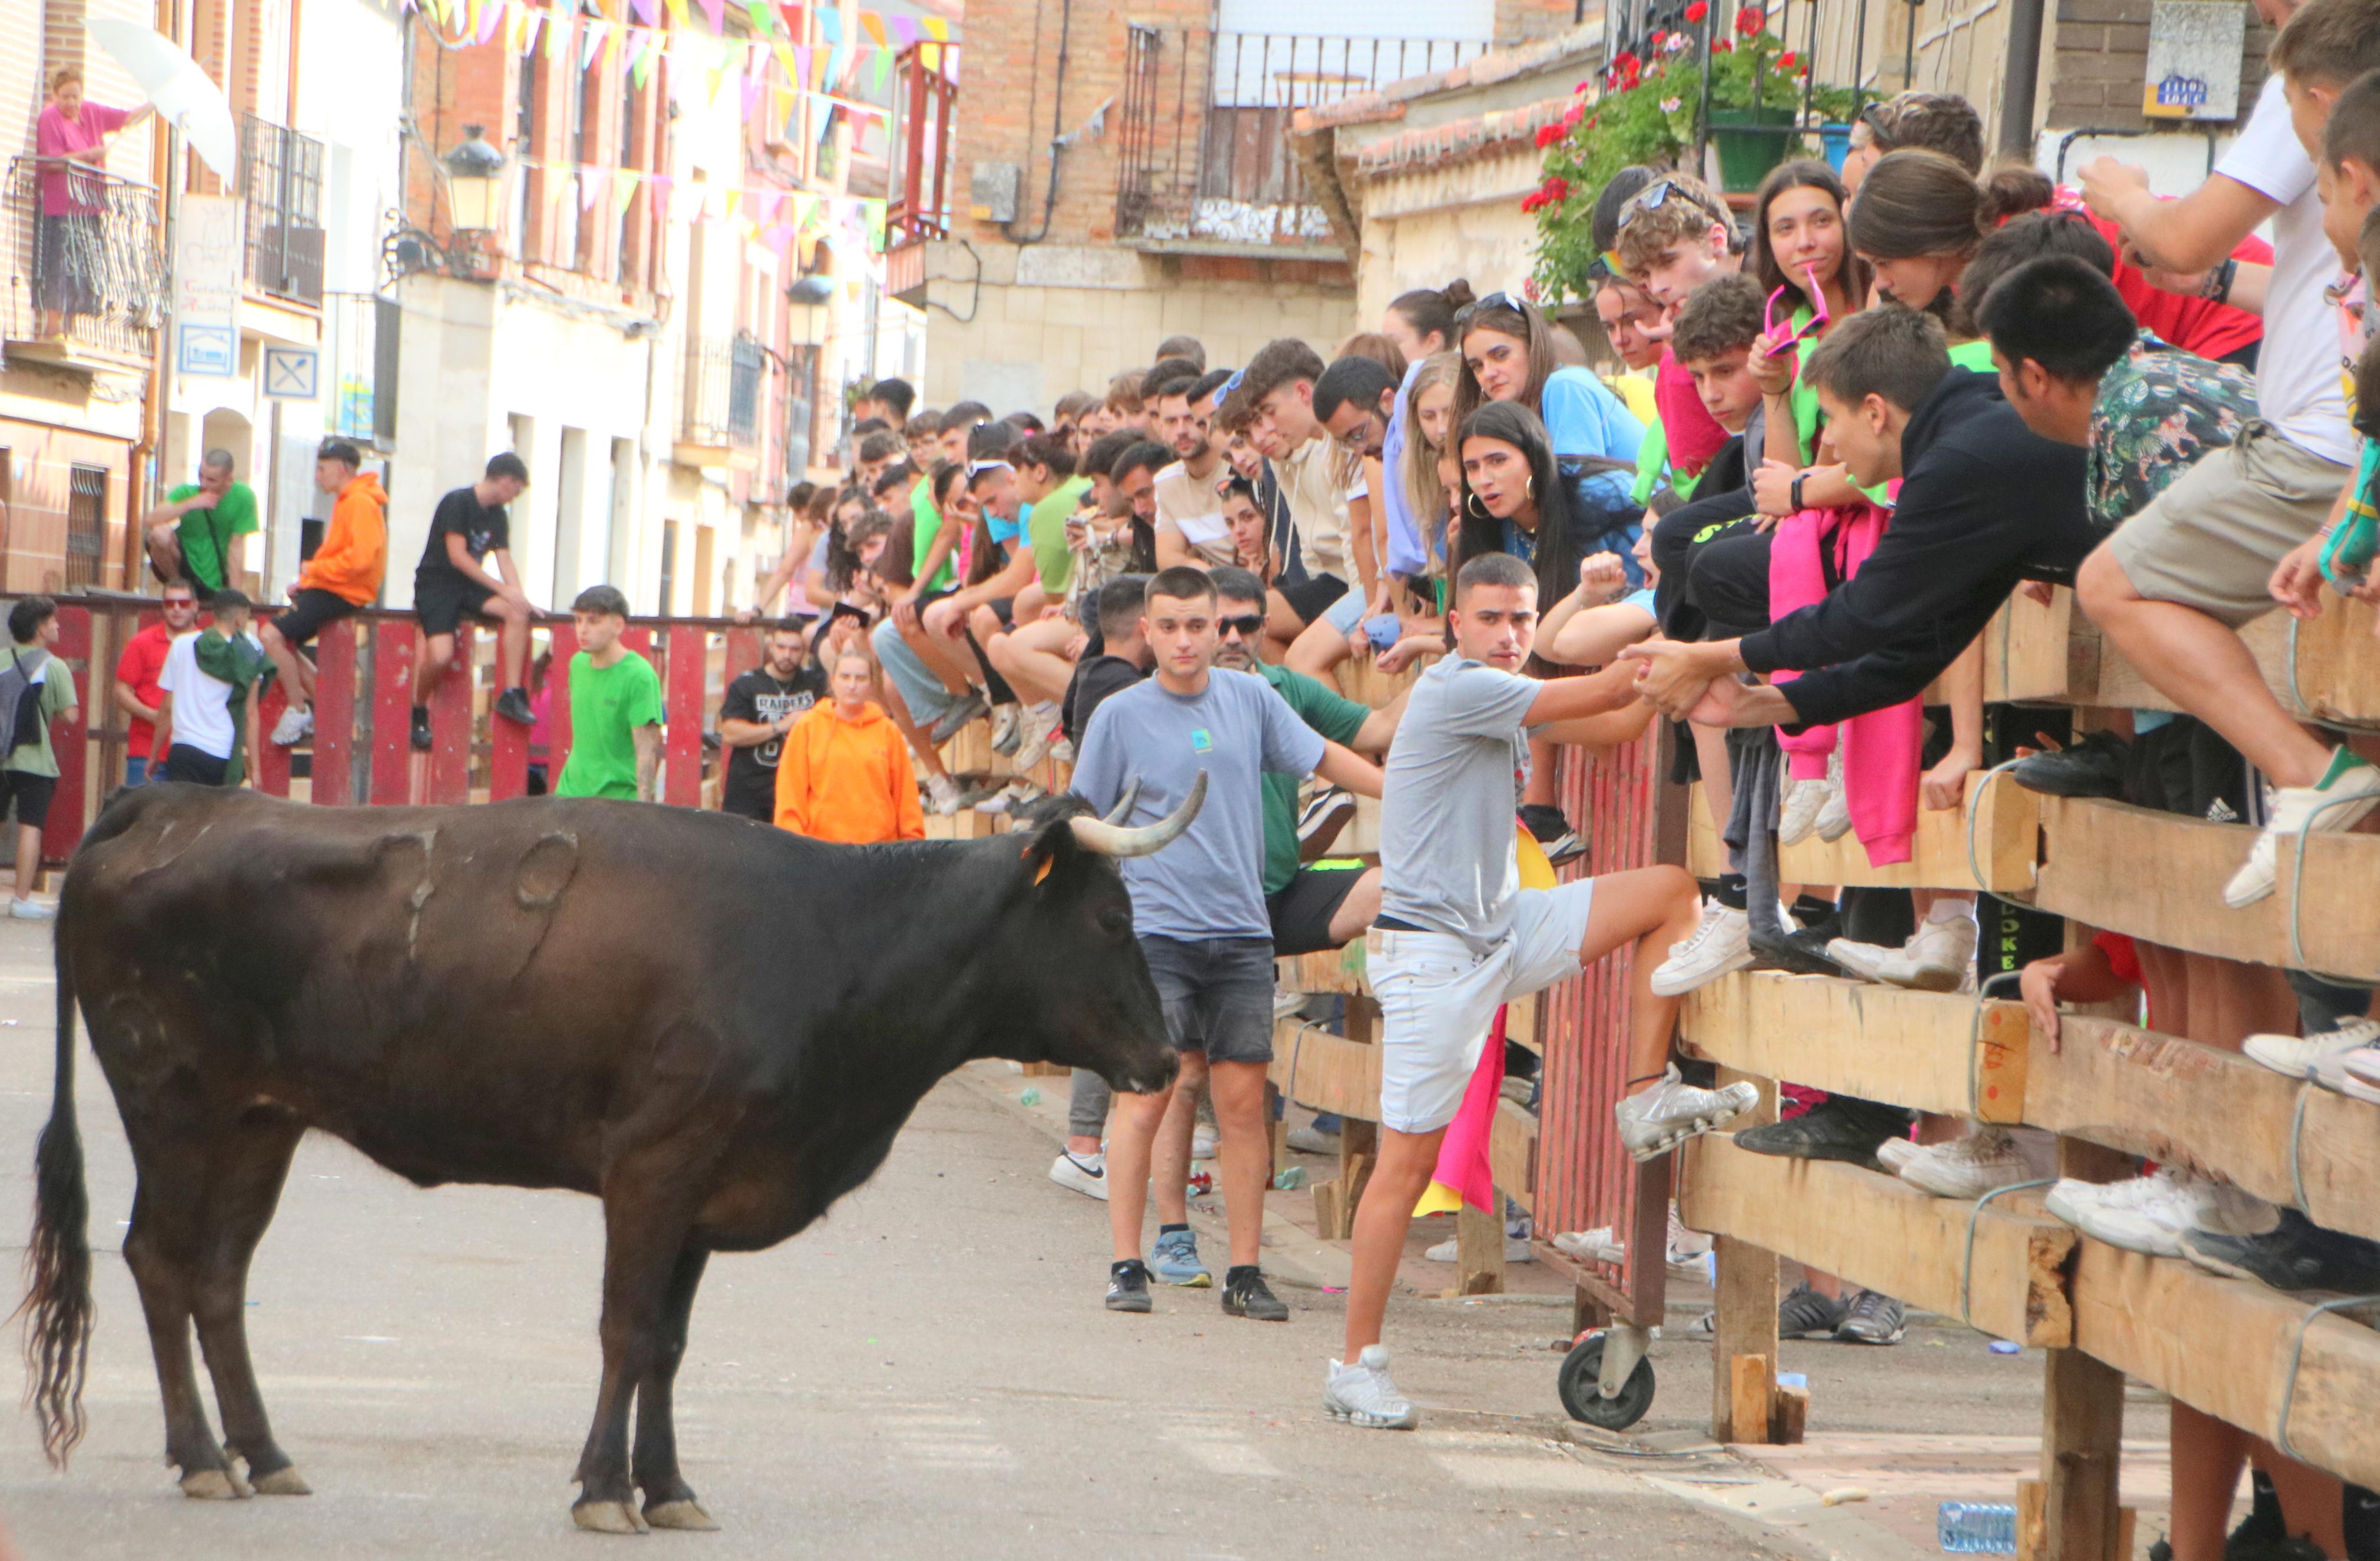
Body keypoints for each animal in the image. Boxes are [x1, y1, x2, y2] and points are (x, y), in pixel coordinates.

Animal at [25, 785, 1190, 1532]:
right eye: (1108, 916)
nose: (1166, 1055)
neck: (832, 940)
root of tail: (173, 804)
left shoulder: (703, 1192)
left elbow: (667, 1344)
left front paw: (666, 1487)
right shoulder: (652, 1169)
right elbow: (625, 1330)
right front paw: (600, 1489)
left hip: (258, 1122)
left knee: (219, 1275)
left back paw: (263, 1455)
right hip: (174, 1105)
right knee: (162, 1260)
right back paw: (202, 1458)